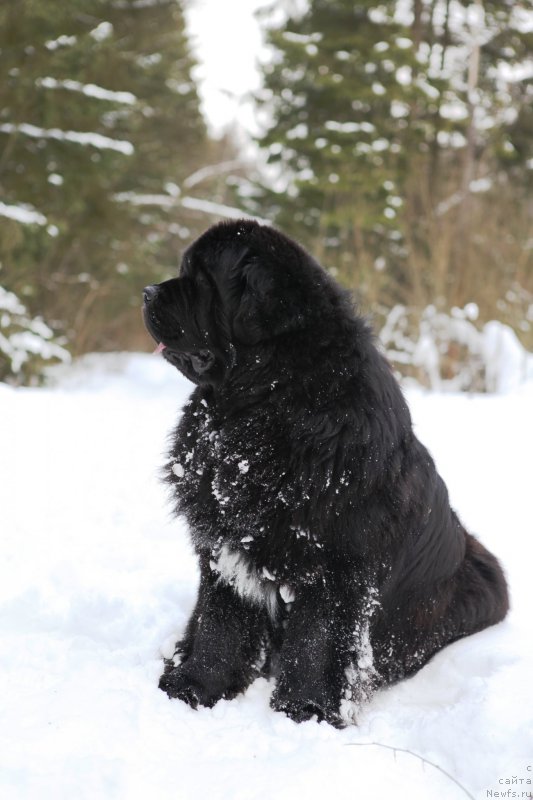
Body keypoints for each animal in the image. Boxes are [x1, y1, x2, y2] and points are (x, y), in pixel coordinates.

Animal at [141, 217, 508, 724]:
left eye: (200, 280)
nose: (146, 291)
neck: (267, 404)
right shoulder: (227, 546)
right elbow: (221, 625)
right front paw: (194, 688)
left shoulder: (335, 560)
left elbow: (316, 643)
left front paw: (304, 712)